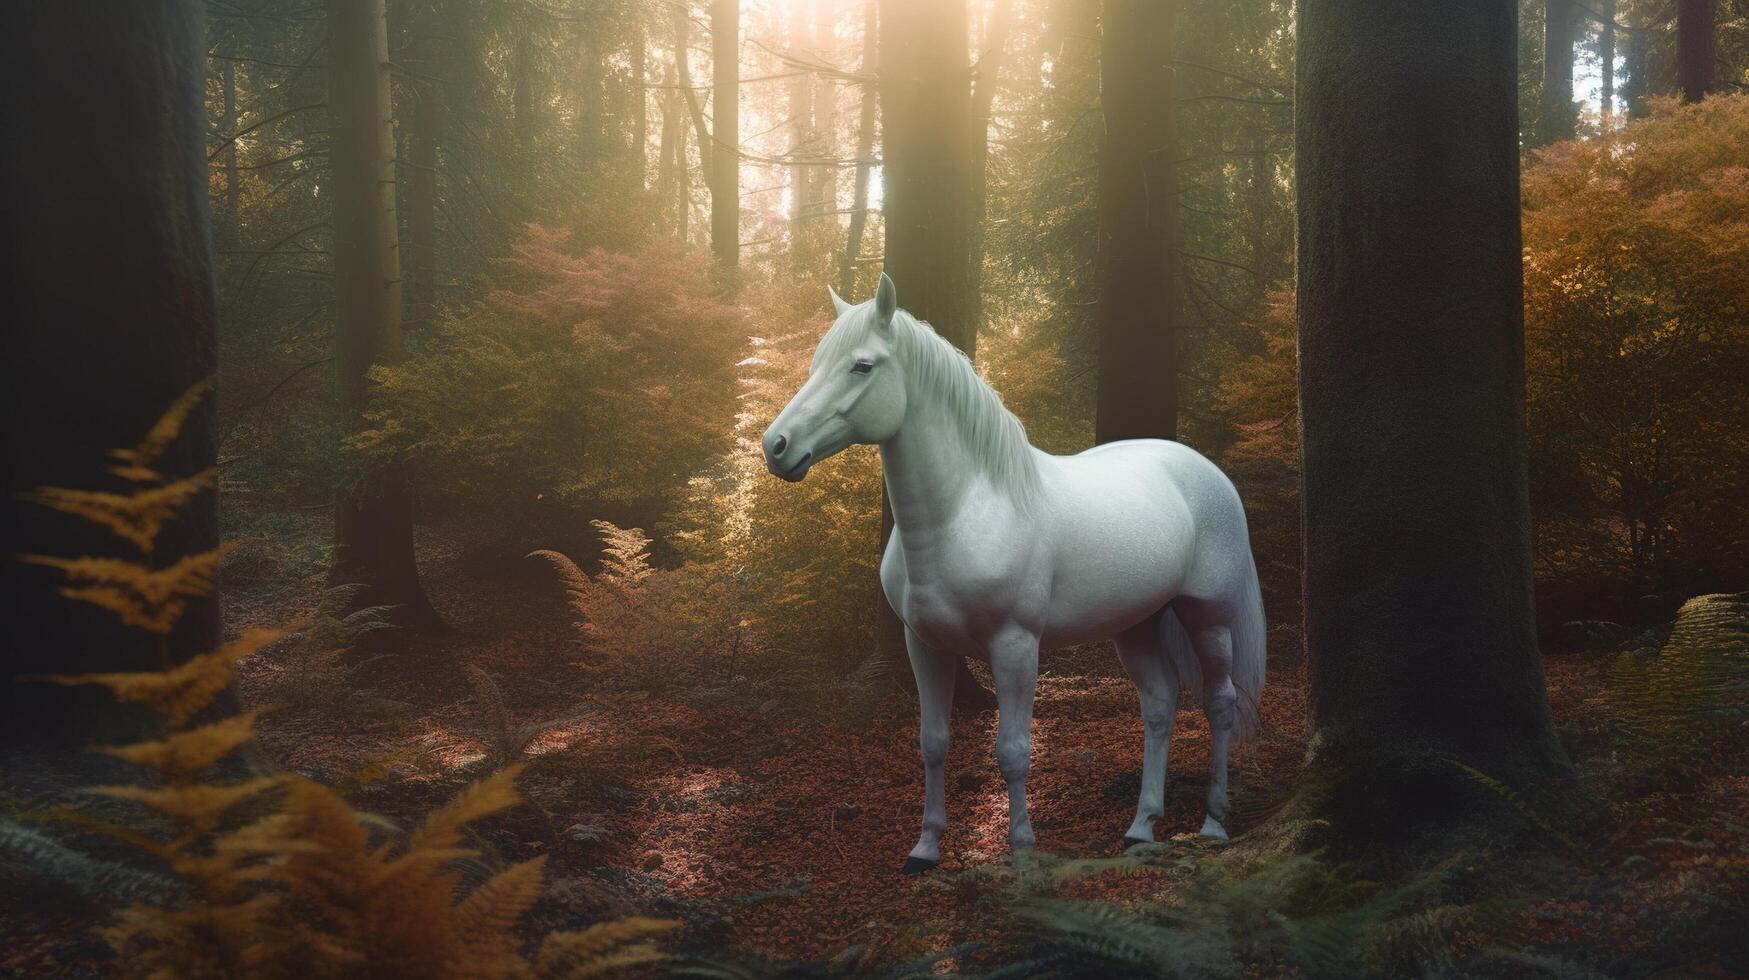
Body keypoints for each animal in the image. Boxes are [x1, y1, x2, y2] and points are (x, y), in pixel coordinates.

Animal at [759, 273, 1266, 871]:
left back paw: (1213, 823)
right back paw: (1141, 826)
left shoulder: (1016, 646)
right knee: (1160, 706)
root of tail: (1205, 470)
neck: (967, 511)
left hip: (1208, 617)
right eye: (817, 364)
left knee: (1220, 702)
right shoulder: (924, 646)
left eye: (861, 366)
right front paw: (925, 848)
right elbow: (933, 743)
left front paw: (1021, 848)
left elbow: (1014, 751)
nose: (776, 446)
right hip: (1136, 624)